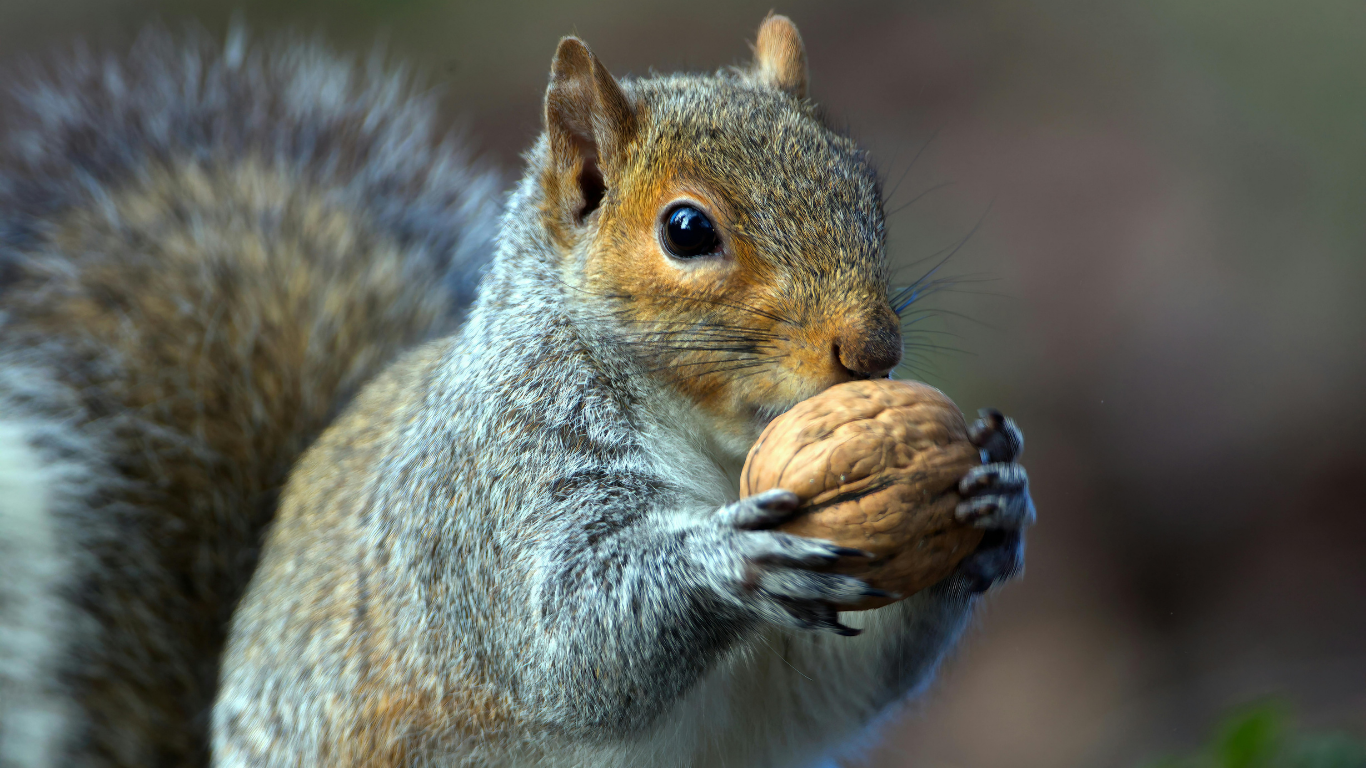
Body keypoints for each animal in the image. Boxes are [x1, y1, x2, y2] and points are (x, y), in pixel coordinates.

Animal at [0, 13, 1034, 768]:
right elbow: (563, 642)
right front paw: (731, 561)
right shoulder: (492, 491)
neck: (713, 443)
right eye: (687, 229)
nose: (876, 346)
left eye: (867, 188)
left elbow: (828, 689)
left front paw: (995, 493)